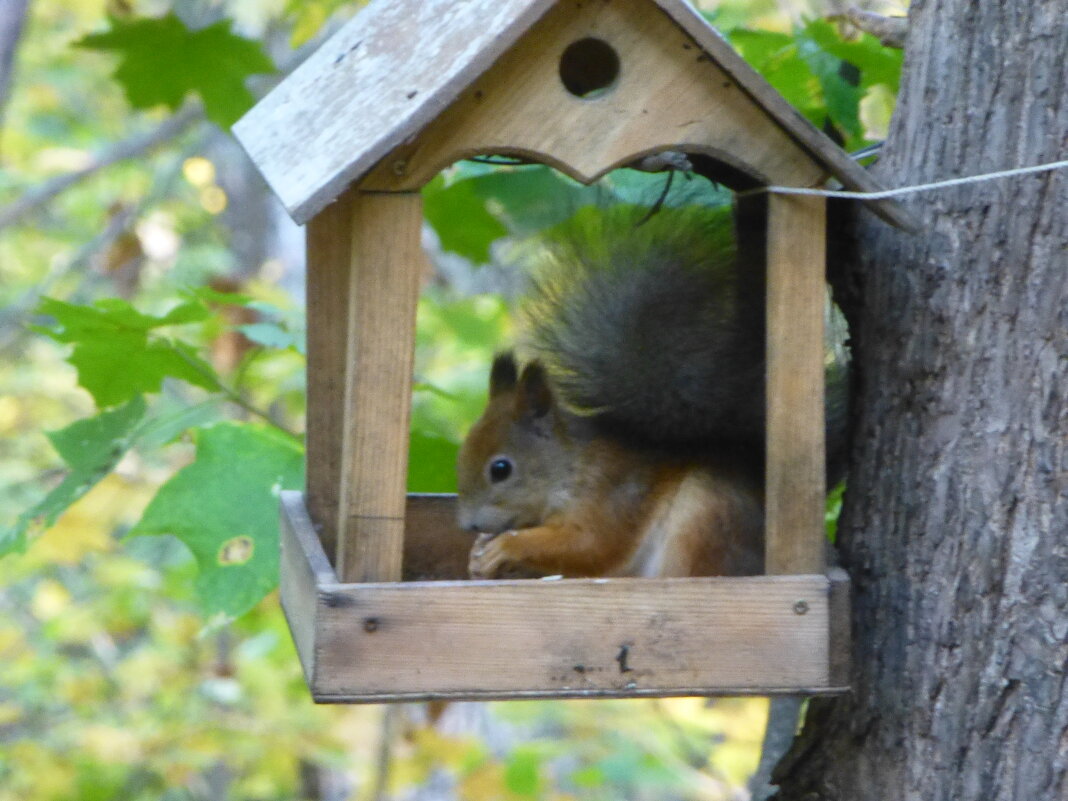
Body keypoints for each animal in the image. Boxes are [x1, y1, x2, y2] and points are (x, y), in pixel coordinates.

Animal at [454, 205, 845, 585]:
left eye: (501, 469)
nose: (469, 525)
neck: (568, 465)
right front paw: (476, 557)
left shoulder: (610, 494)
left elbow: (590, 545)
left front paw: (504, 547)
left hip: (707, 512)